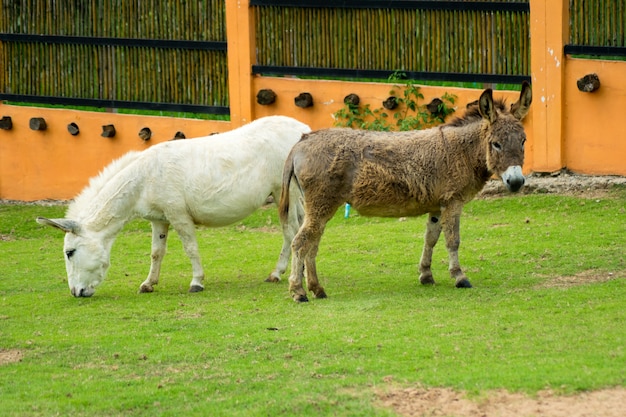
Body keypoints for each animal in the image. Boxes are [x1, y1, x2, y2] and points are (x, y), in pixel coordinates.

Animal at [37, 114, 310, 296]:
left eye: (69, 252)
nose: (76, 292)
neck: (144, 178)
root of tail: (303, 129)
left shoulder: (178, 215)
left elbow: (190, 248)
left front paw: (197, 282)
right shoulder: (159, 220)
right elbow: (156, 252)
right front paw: (148, 284)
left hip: (285, 193)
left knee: (292, 232)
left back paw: (285, 274)